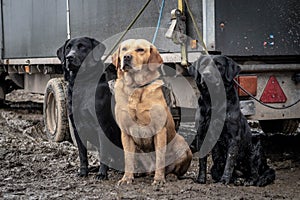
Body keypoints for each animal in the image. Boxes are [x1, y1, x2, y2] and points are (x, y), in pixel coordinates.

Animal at [56, 37, 122, 180]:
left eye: (82, 47)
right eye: (68, 47)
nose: (69, 57)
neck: (82, 83)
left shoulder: (102, 125)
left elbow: (104, 153)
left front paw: (102, 174)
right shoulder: (77, 128)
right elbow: (82, 154)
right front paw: (83, 172)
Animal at [189, 54, 276, 186]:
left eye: (218, 65)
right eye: (203, 65)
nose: (206, 74)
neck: (214, 101)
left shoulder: (233, 137)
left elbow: (230, 161)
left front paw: (224, 180)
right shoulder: (201, 133)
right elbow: (202, 159)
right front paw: (201, 179)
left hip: (255, 148)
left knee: (256, 173)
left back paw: (248, 180)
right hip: (215, 167)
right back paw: (236, 179)